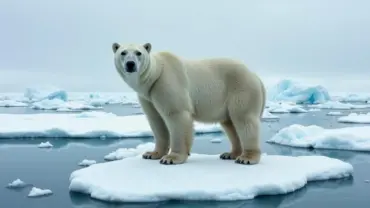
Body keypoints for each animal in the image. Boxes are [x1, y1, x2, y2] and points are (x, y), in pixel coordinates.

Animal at [110, 42, 266, 166]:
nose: (130, 64)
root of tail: (255, 76)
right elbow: (156, 120)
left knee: (244, 119)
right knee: (229, 123)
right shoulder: (148, 96)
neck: (155, 75)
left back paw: (247, 158)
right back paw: (230, 154)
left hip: (241, 89)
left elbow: (176, 115)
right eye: (123, 52)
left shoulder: (165, 82)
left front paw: (171, 158)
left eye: (138, 53)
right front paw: (151, 154)